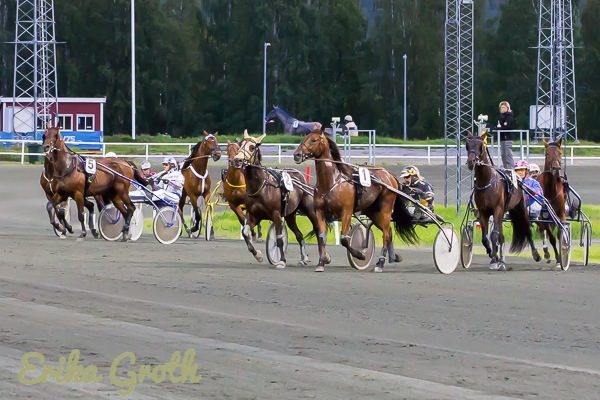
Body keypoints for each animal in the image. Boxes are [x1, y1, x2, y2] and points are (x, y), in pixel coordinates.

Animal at [232, 131, 322, 268]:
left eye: (252, 147)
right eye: (240, 145)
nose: (237, 160)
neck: (261, 186)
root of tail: (300, 176)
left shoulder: (276, 215)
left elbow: (279, 239)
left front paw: (281, 260)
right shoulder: (253, 215)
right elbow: (245, 233)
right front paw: (258, 255)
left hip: (310, 210)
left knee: (318, 231)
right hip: (290, 215)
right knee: (299, 235)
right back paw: (304, 258)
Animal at [292, 126, 418, 274]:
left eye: (314, 140)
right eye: (304, 138)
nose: (297, 155)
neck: (332, 182)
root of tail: (389, 174)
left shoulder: (346, 211)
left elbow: (344, 239)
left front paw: (360, 255)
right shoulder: (320, 211)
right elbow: (322, 236)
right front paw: (322, 261)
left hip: (385, 209)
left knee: (386, 234)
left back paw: (380, 263)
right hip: (373, 212)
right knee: (388, 232)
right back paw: (394, 257)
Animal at [462, 133, 540, 270]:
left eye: (480, 146)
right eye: (467, 145)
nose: (471, 162)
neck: (487, 182)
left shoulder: (497, 209)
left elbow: (494, 235)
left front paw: (494, 259)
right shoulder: (483, 212)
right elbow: (485, 238)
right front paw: (493, 255)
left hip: (520, 207)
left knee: (527, 229)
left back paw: (536, 254)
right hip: (503, 212)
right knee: (502, 236)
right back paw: (502, 261)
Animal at [536, 136, 568, 264]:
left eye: (560, 153)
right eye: (547, 153)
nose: (555, 167)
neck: (550, 190)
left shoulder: (561, 214)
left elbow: (560, 234)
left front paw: (563, 250)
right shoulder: (543, 217)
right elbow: (552, 237)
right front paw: (558, 257)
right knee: (542, 230)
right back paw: (545, 253)